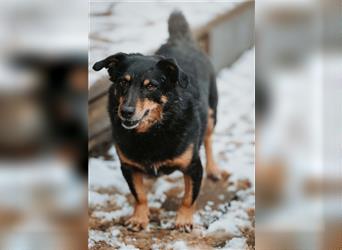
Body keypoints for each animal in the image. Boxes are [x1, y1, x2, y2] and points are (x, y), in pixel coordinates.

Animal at [92, 10, 223, 232]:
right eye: (122, 83)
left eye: (151, 86)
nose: (126, 112)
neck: (152, 131)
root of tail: (180, 39)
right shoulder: (128, 167)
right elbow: (139, 195)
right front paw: (139, 218)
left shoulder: (194, 167)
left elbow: (188, 198)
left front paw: (184, 220)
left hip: (212, 113)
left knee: (208, 139)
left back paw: (214, 169)